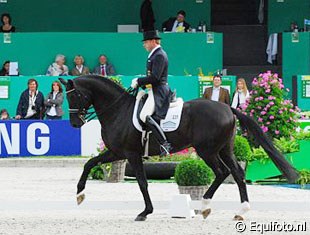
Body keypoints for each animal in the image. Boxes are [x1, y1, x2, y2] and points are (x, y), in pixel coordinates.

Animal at [59, 76, 300, 221]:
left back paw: (206, 205)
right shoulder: (117, 152)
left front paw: (145, 212)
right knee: (237, 173)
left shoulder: (131, 154)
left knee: (222, 172)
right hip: (224, 149)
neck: (118, 110)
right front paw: (79, 194)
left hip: (207, 150)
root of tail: (228, 108)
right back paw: (238, 211)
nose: (75, 123)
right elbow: (89, 163)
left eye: (75, 95)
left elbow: (142, 183)